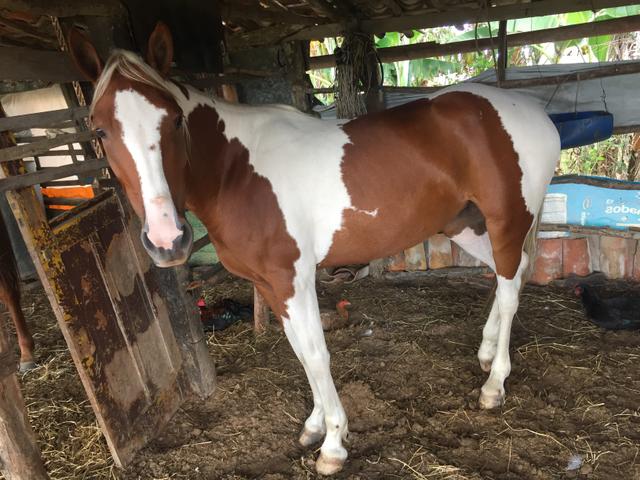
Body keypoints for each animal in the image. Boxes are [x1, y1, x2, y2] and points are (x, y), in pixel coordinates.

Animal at [68, 23, 561, 475]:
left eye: (174, 120)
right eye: (100, 130)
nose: (168, 239)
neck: (237, 171)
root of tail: (533, 113)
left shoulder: (293, 279)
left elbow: (318, 354)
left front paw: (333, 445)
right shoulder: (272, 286)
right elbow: (302, 353)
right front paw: (314, 426)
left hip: (507, 220)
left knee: (511, 288)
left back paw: (494, 385)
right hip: (466, 225)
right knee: (509, 275)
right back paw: (486, 352)